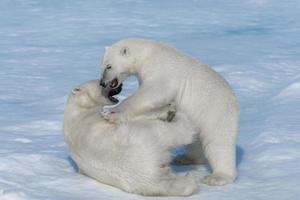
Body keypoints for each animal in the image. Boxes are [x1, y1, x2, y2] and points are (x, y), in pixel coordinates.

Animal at [63, 79, 199, 195]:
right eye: (101, 83)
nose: (120, 85)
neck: (77, 109)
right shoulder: (94, 115)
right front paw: (167, 109)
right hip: (150, 134)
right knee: (180, 131)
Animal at [99, 38, 240, 186]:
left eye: (109, 66)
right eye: (102, 66)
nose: (102, 83)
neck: (147, 54)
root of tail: (234, 101)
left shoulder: (162, 71)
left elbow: (151, 94)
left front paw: (110, 112)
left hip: (216, 111)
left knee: (219, 142)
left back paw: (218, 177)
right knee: (195, 141)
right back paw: (185, 158)